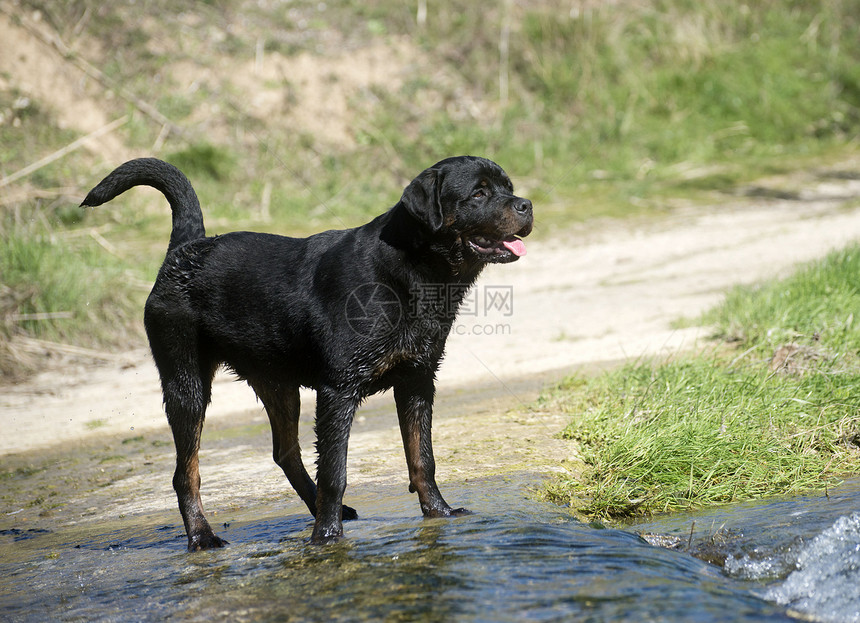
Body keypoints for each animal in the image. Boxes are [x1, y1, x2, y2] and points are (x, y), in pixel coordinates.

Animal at [84, 157, 536, 552]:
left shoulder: (417, 381)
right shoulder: (339, 389)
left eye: (508, 187)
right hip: (186, 383)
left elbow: (422, 458)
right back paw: (202, 537)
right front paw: (327, 537)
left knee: (285, 452)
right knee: (186, 473)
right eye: (478, 193)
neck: (412, 273)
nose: (526, 204)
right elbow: (336, 470)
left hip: (278, 382)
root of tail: (186, 248)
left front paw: (439, 513)